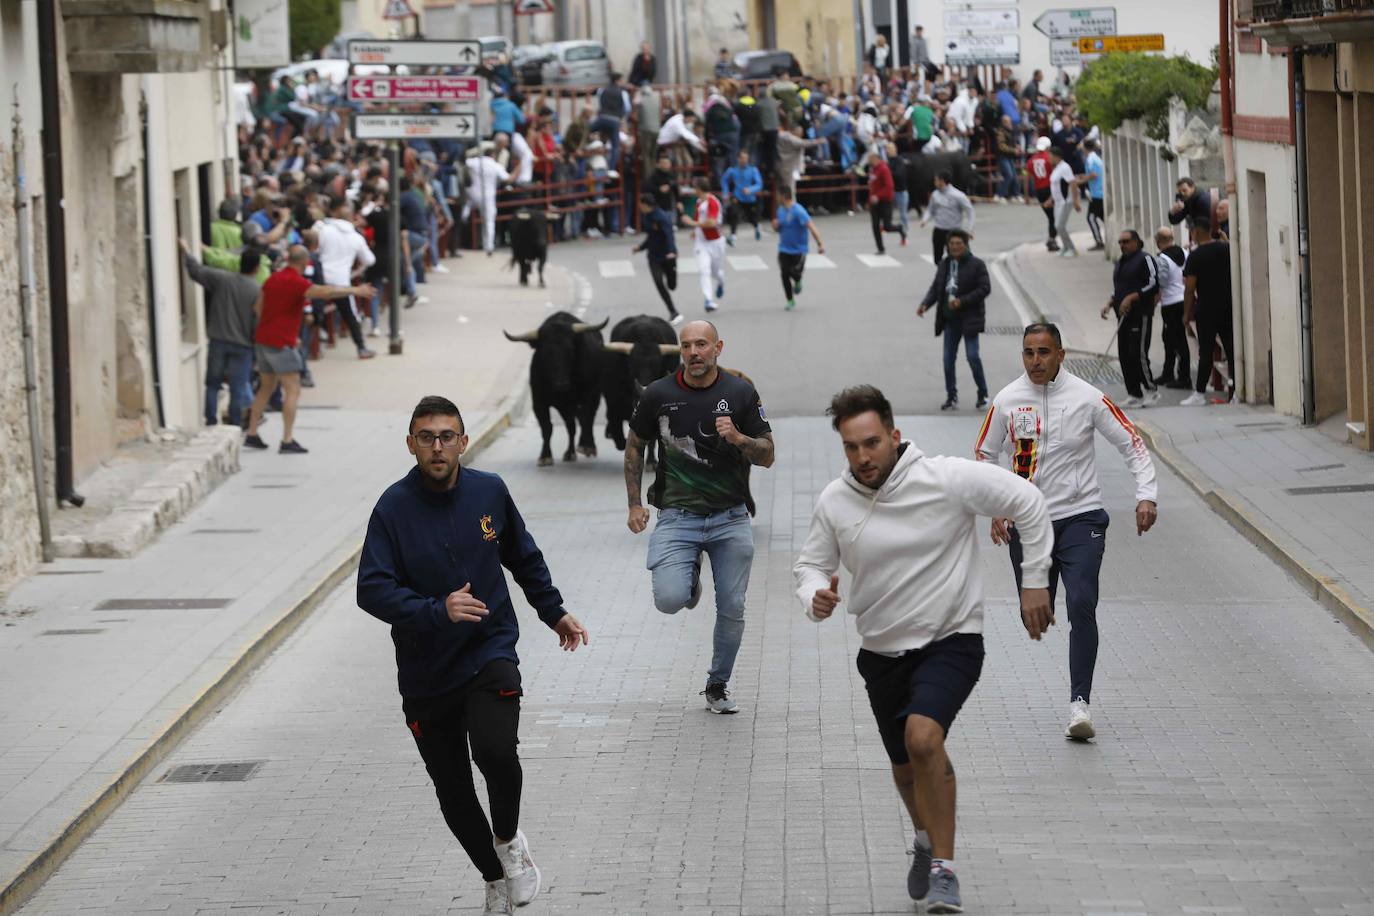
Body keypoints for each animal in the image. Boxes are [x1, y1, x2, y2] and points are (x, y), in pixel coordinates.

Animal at [505, 311, 607, 466]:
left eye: (571, 349)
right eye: (544, 352)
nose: (561, 383)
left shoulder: (590, 396)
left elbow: (586, 419)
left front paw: (586, 446)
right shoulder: (539, 402)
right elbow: (547, 428)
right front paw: (545, 456)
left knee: (585, 420)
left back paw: (586, 446)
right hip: (565, 408)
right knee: (571, 426)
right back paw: (570, 453)